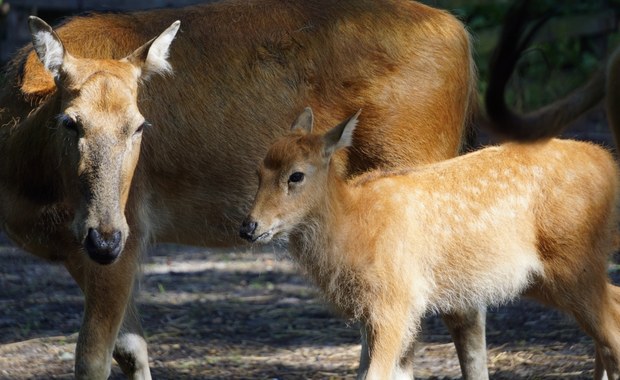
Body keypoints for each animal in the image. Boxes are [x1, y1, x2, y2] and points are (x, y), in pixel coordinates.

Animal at [0, 1, 480, 378]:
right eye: (70, 121)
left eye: (138, 125)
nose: (103, 236)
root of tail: (463, 38)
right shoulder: (81, 251)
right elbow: (131, 350)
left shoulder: (131, 229)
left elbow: (92, 358)